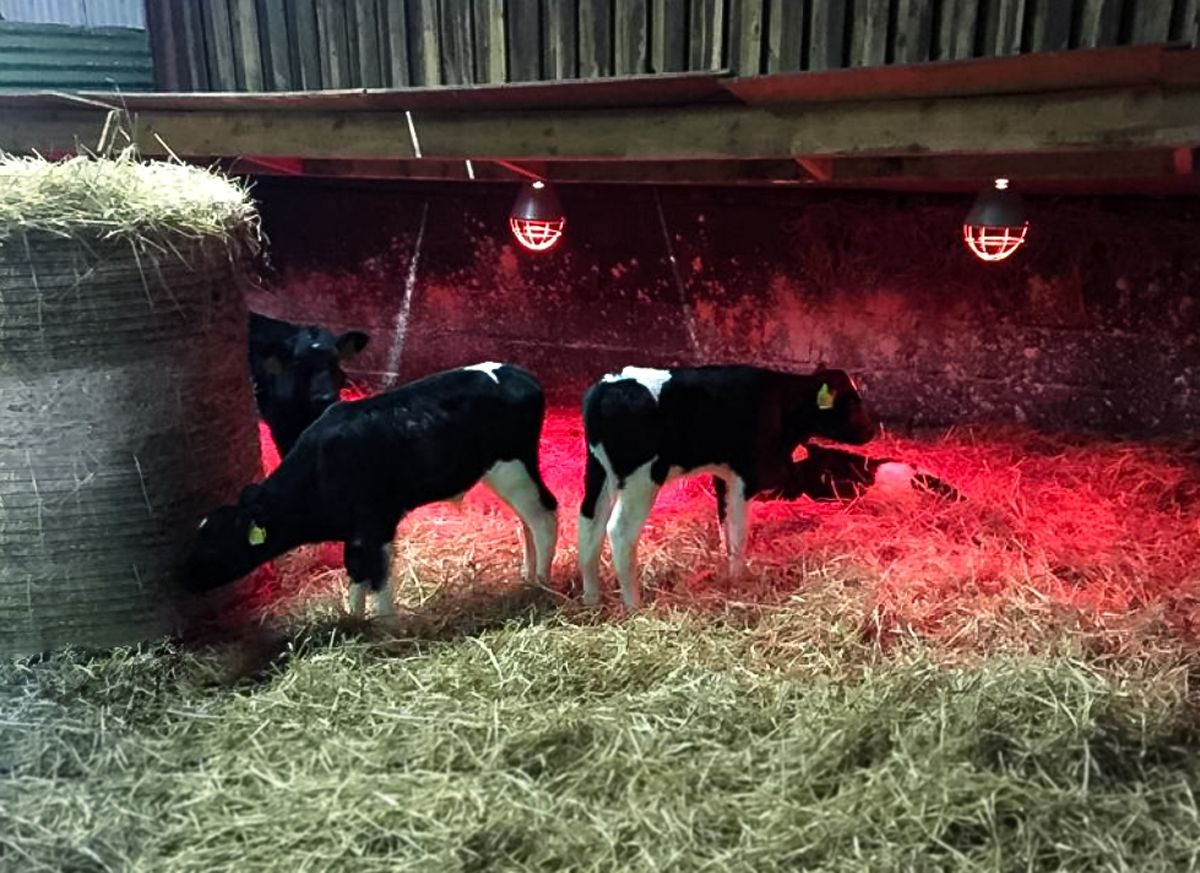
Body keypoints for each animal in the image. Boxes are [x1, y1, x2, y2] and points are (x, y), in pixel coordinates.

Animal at [183, 362, 559, 618]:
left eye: (216, 543)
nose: (183, 577)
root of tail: (518, 373)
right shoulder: (356, 531)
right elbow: (356, 570)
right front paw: (355, 620)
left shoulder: (378, 521)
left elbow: (377, 575)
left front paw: (385, 627)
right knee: (527, 519)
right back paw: (528, 576)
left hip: (512, 465)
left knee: (544, 514)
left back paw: (541, 581)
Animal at [578, 364, 877, 610]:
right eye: (851, 400)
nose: (871, 430)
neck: (779, 401)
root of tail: (608, 385)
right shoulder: (745, 476)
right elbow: (739, 531)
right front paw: (738, 578)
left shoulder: (723, 475)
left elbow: (725, 526)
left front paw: (727, 574)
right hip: (640, 479)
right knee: (619, 530)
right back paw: (634, 605)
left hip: (598, 470)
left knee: (589, 523)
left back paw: (592, 600)